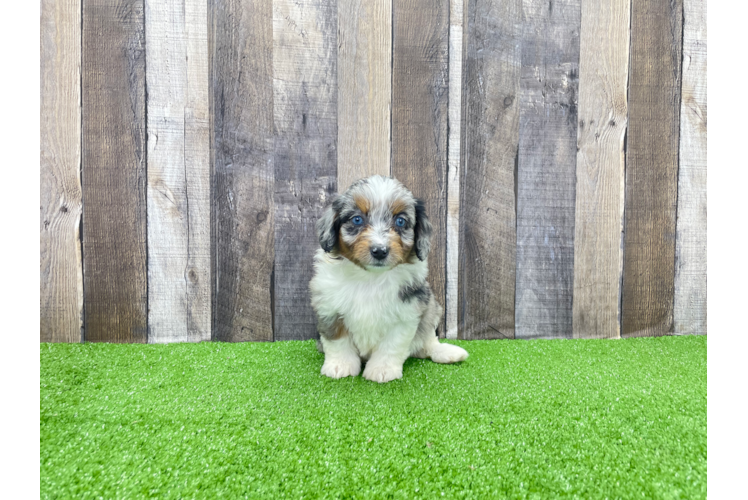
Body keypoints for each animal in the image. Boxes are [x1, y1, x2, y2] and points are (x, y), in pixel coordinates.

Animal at [310, 176, 468, 382]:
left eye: (400, 221)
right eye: (357, 219)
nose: (379, 251)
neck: (370, 277)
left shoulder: (407, 312)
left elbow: (392, 345)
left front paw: (382, 370)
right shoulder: (329, 309)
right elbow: (337, 341)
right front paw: (340, 366)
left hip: (432, 307)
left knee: (427, 342)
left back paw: (447, 352)